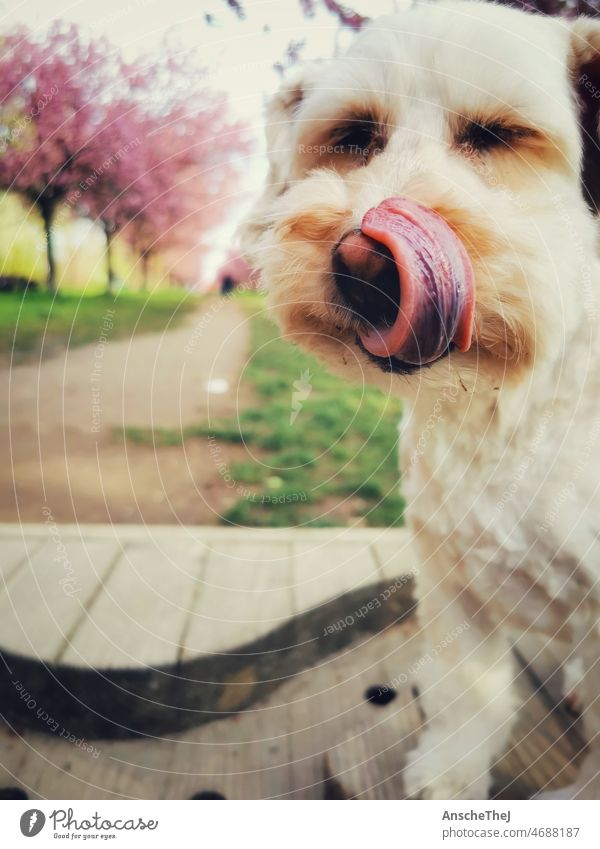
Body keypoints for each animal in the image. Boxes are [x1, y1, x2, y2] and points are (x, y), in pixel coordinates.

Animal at [241, 0, 600, 800]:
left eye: (497, 134)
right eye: (353, 136)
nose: (365, 266)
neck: (505, 412)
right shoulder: (448, 571)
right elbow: (471, 690)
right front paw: (451, 774)